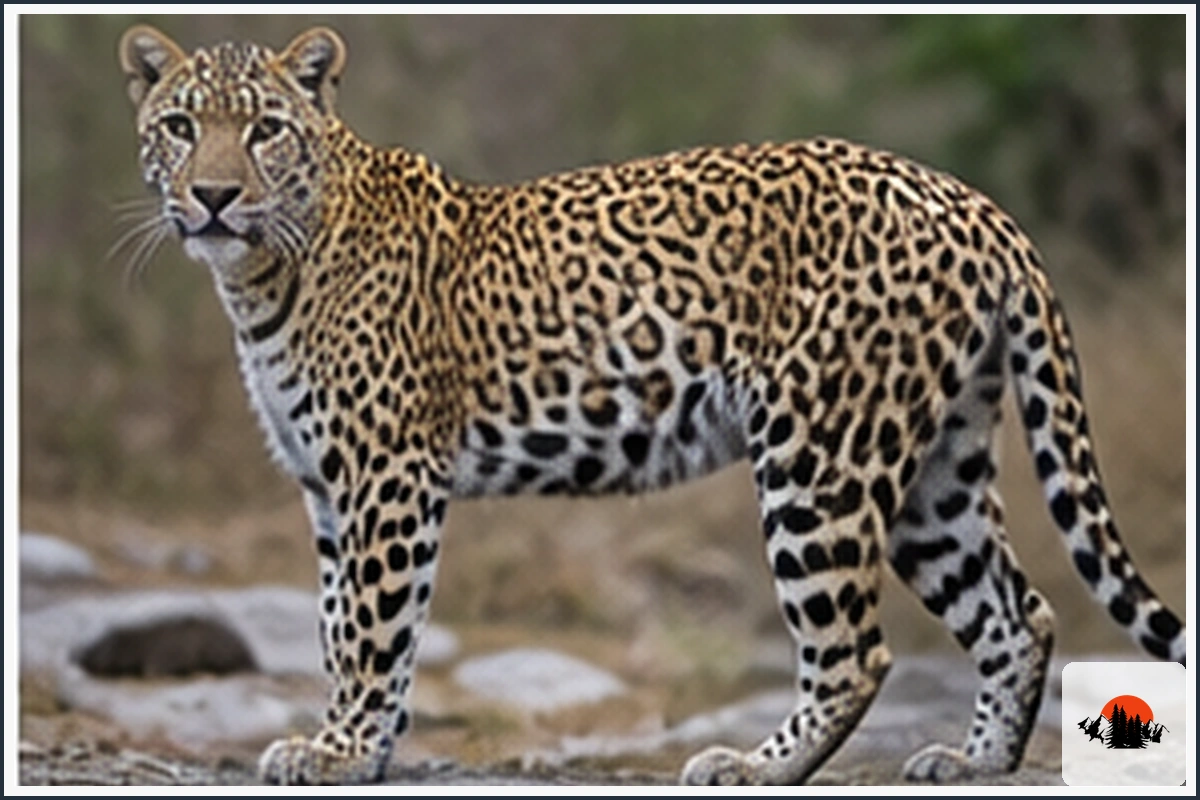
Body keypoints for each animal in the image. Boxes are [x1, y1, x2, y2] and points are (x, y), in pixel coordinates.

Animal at [117, 25, 1186, 785]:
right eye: (180, 127)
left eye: (265, 129)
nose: (213, 196)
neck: (259, 277)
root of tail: (974, 201)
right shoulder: (327, 487)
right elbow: (341, 622)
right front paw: (360, 748)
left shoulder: (386, 476)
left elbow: (374, 628)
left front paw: (337, 752)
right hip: (936, 466)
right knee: (1017, 613)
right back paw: (975, 762)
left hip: (820, 455)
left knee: (855, 649)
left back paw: (751, 767)